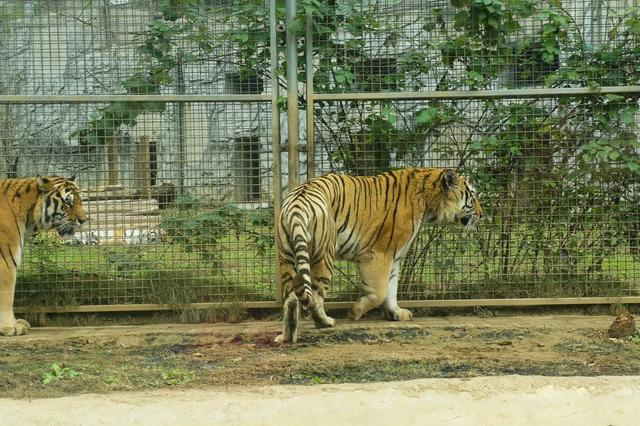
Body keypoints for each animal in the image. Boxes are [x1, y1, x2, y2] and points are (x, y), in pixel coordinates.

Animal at [0, 176, 86, 336]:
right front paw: (10, 326)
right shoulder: (5, 259)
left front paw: (16, 323)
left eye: (80, 201)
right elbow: (7, 294)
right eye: (68, 203)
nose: (84, 220)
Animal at [274, 167, 480, 342]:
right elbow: (380, 292)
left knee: (290, 300)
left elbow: (392, 288)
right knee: (315, 297)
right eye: (472, 195)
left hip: (287, 256)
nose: (482, 214)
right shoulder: (379, 254)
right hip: (324, 256)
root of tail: (297, 203)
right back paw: (325, 322)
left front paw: (396, 313)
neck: (428, 200)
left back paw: (286, 337)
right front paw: (355, 312)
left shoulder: (394, 256)